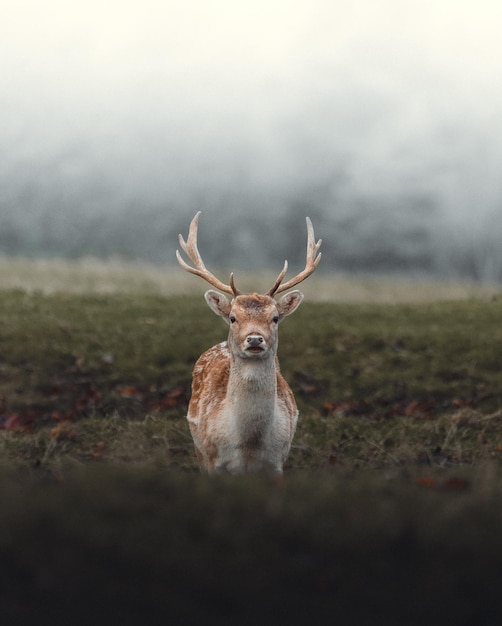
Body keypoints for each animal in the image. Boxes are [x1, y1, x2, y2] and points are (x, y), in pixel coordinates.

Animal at [176, 212, 322, 470]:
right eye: (233, 317)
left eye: (275, 318)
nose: (254, 339)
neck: (249, 445)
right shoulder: (213, 462)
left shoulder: (277, 461)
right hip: (198, 450)